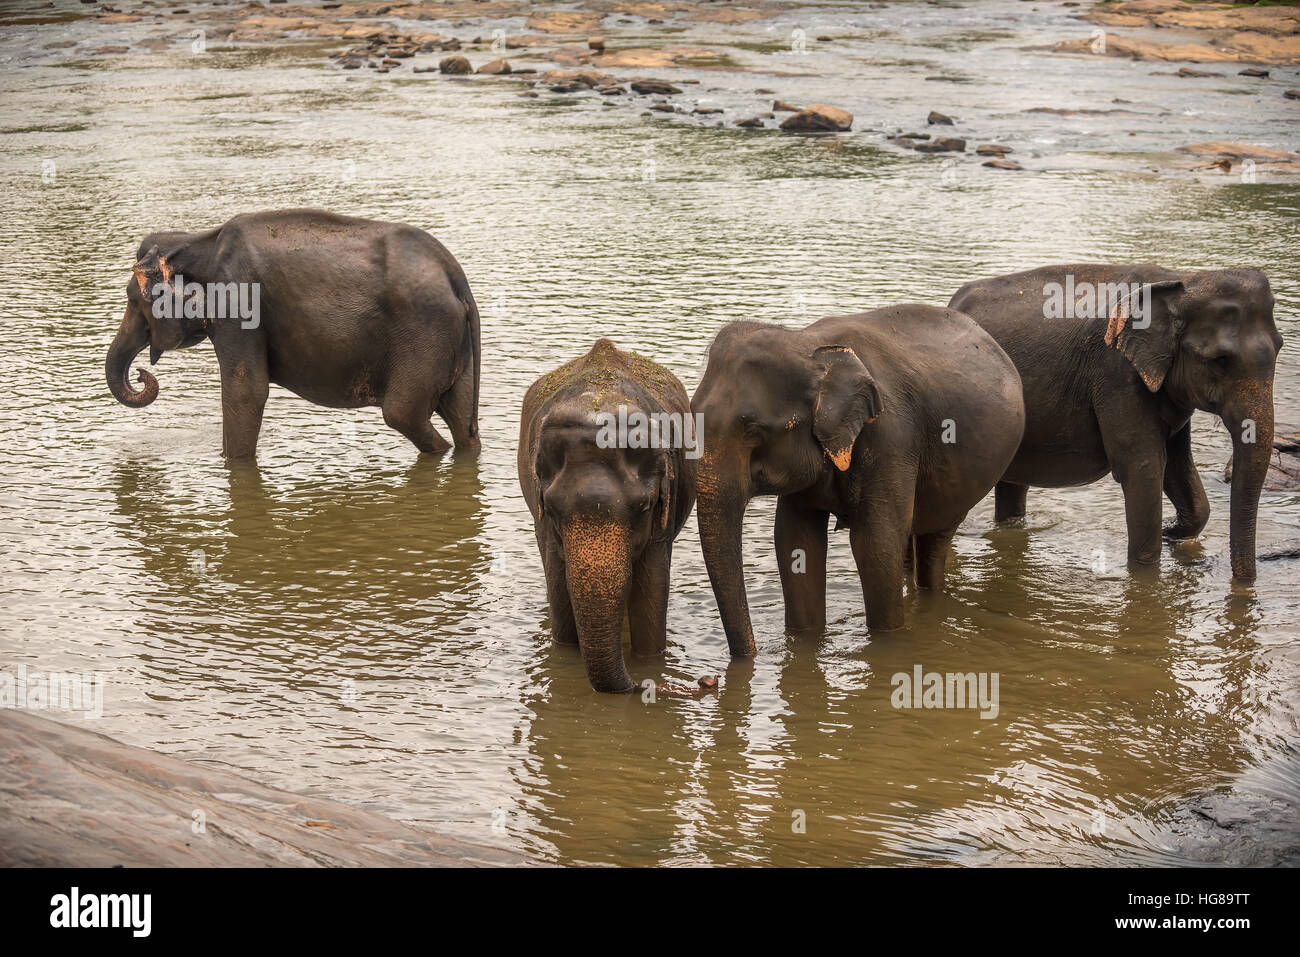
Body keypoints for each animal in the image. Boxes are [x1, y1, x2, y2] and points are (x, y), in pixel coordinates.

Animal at [105, 208, 483, 460]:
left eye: (132, 298)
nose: (141, 375)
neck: (199, 241)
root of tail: (457, 278)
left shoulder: (239, 304)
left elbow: (246, 391)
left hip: (425, 336)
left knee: (402, 413)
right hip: (452, 345)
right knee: (461, 418)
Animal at [520, 340, 702, 691]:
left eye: (643, 508)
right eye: (552, 509)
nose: (707, 681)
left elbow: (651, 588)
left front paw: (648, 661)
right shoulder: (544, 523)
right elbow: (559, 588)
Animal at [691, 306, 1024, 657]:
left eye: (753, 430)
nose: (752, 654)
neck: (808, 345)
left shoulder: (891, 439)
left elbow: (875, 545)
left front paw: (888, 641)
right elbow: (795, 541)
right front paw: (804, 643)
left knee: (935, 540)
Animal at [946, 261, 1279, 579]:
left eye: (1280, 349)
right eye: (1220, 360)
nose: (1244, 584)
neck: (1185, 278)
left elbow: (1178, 468)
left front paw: (1173, 531)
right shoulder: (1116, 373)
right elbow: (1143, 468)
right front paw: (1147, 570)